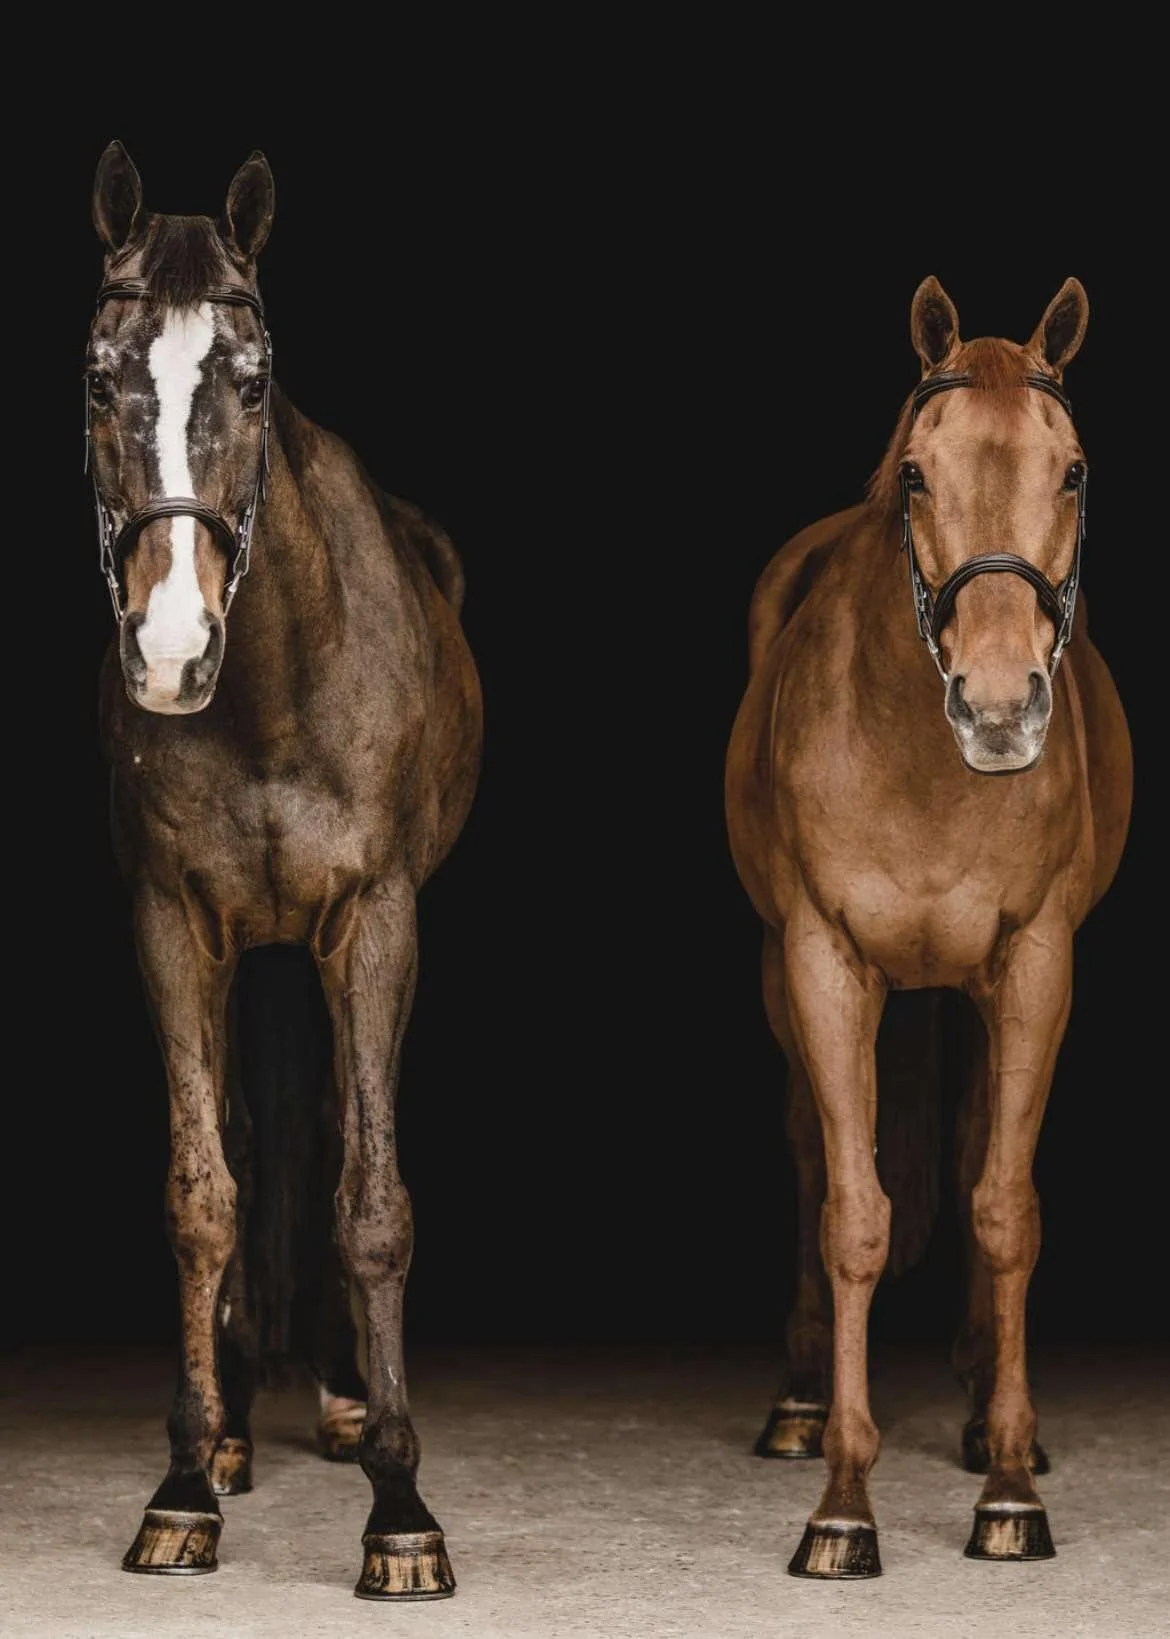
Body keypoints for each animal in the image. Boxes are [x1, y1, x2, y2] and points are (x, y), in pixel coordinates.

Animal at [85, 141, 482, 1600]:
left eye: (252, 380)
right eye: (103, 374)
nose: (171, 648)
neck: (267, 688)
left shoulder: (373, 923)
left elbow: (372, 1197)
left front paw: (402, 1508)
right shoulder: (173, 925)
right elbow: (203, 1190)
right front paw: (188, 1479)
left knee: (327, 1132)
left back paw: (348, 1399)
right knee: (261, 1139)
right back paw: (249, 1421)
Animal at [724, 275, 1132, 1578]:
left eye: (1072, 469)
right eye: (916, 470)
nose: (999, 708)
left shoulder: (1037, 964)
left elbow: (1005, 1209)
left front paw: (1008, 1484)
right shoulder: (824, 960)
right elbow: (854, 1213)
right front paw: (844, 1504)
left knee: (969, 1154)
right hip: (785, 976)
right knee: (813, 1151)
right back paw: (803, 1405)